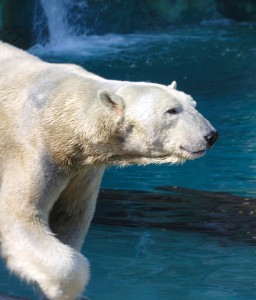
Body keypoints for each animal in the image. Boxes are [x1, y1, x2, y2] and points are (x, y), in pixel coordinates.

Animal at [0, 42, 218, 300]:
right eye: (171, 111)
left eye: (193, 104)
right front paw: (67, 287)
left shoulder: (81, 169)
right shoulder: (32, 146)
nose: (211, 135)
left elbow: (70, 216)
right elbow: (19, 215)